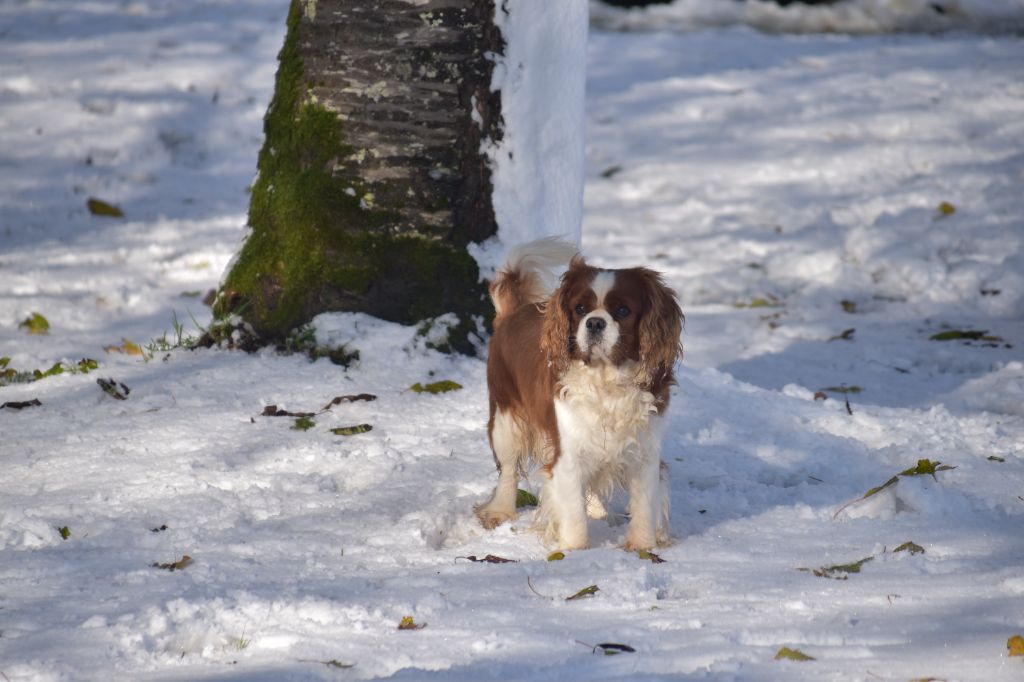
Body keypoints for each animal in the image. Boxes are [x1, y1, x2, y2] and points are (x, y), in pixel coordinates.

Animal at [475, 237, 684, 548]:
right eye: (580, 309)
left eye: (623, 311)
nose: (595, 322)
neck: (607, 380)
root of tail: (513, 312)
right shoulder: (568, 453)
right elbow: (573, 516)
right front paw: (575, 552)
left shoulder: (645, 454)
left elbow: (645, 509)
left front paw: (642, 549)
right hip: (505, 422)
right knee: (509, 471)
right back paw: (499, 511)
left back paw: (600, 513)